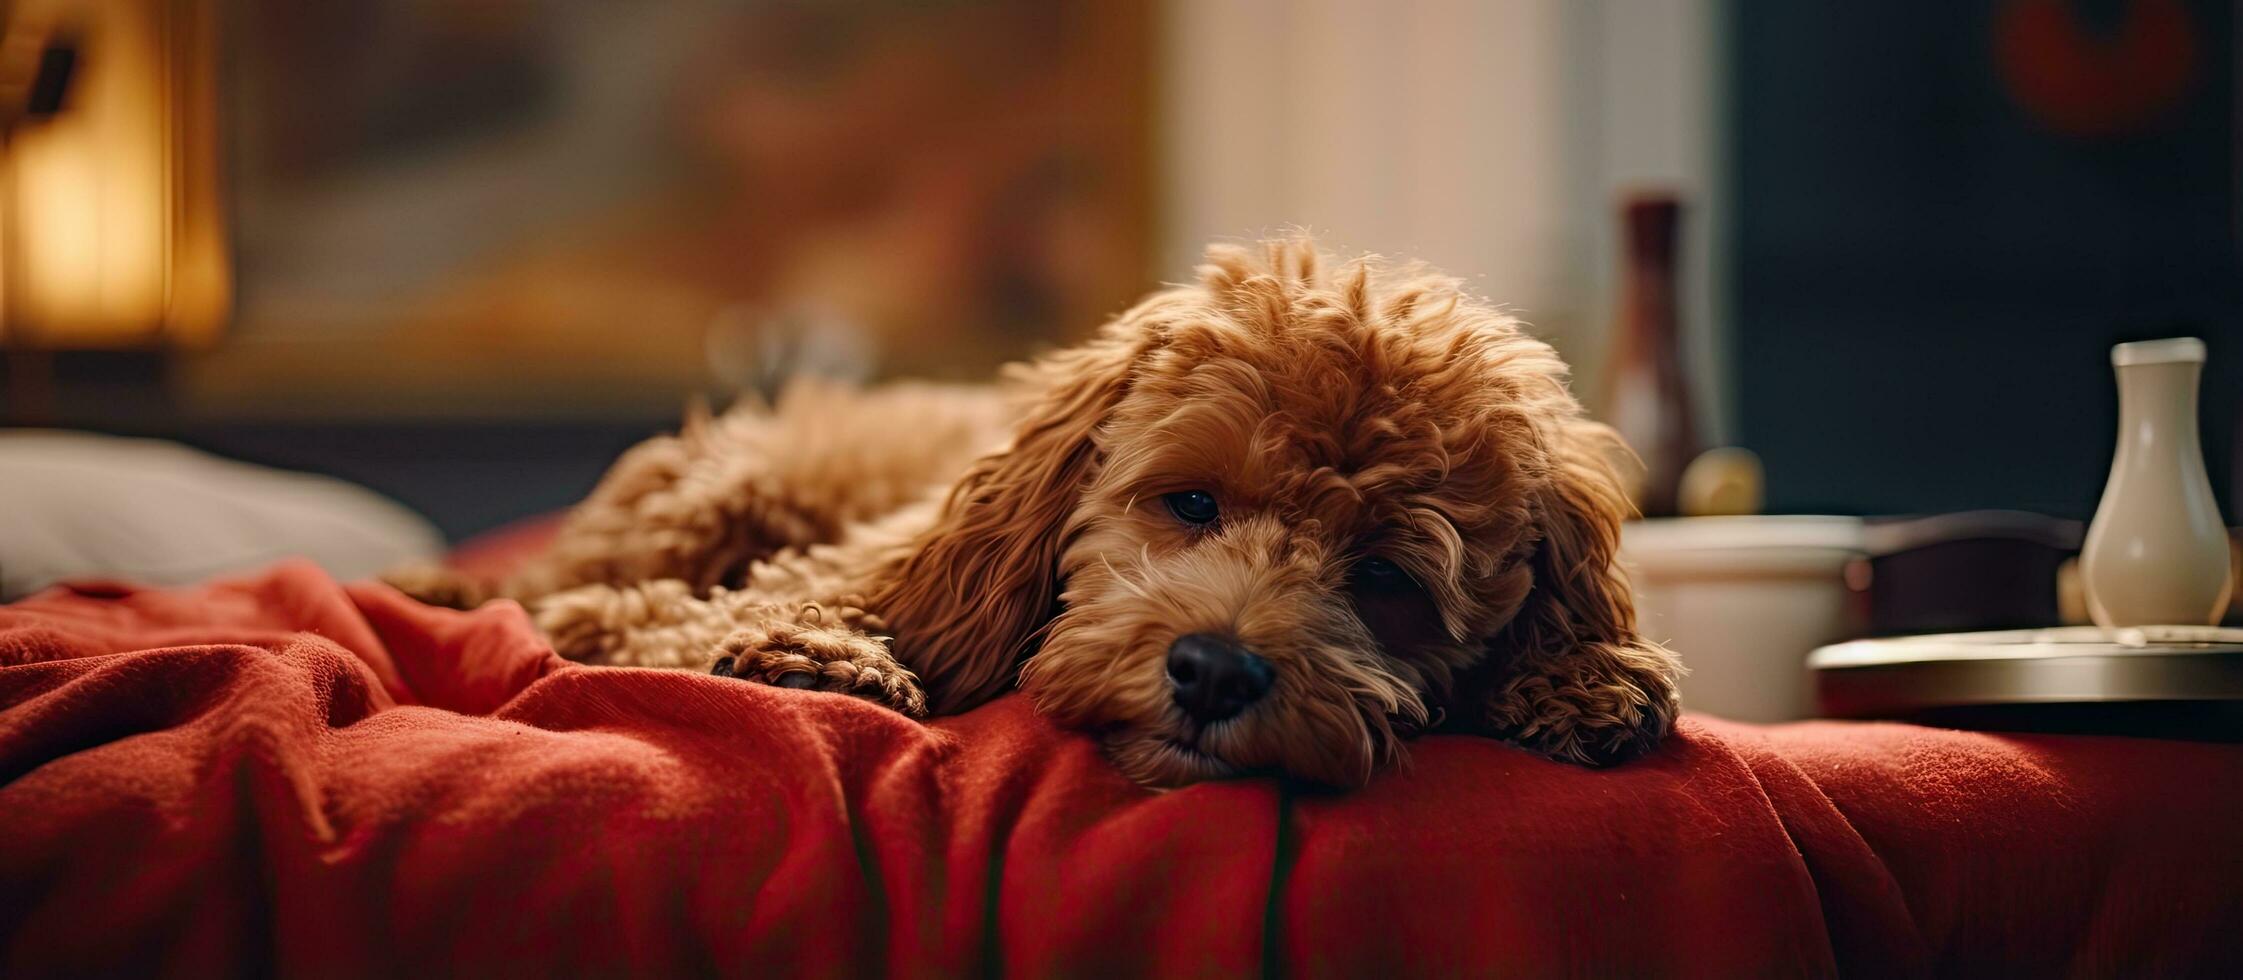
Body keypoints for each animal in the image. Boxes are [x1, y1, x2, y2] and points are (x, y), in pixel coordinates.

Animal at [390, 234, 1686, 784]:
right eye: (1190, 500)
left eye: (1385, 578)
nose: (1213, 670)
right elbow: (666, 621)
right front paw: (818, 655)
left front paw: (1583, 676)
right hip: (717, 490)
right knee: (558, 586)